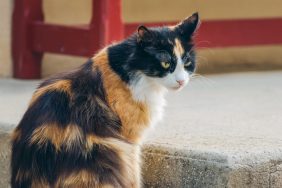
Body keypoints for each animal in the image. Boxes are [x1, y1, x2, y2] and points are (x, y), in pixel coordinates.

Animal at [11, 12, 200, 187]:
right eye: (166, 63)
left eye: (187, 62)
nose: (181, 81)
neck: (127, 71)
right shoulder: (130, 140)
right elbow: (134, 173)